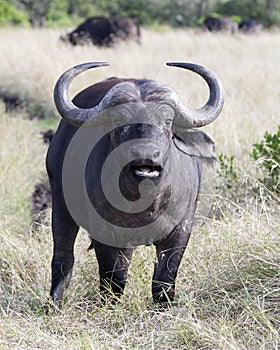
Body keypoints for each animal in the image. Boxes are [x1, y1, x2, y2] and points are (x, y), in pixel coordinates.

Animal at [47, 61, 224, 308]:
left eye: (167, 121)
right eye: (119, 121)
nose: (146, 154)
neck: (146, 202)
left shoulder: (181, 230)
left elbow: (164, 279)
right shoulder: (105, 234)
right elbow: (114, 278)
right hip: (60, 205)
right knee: (63, 257)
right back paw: (54, 304)